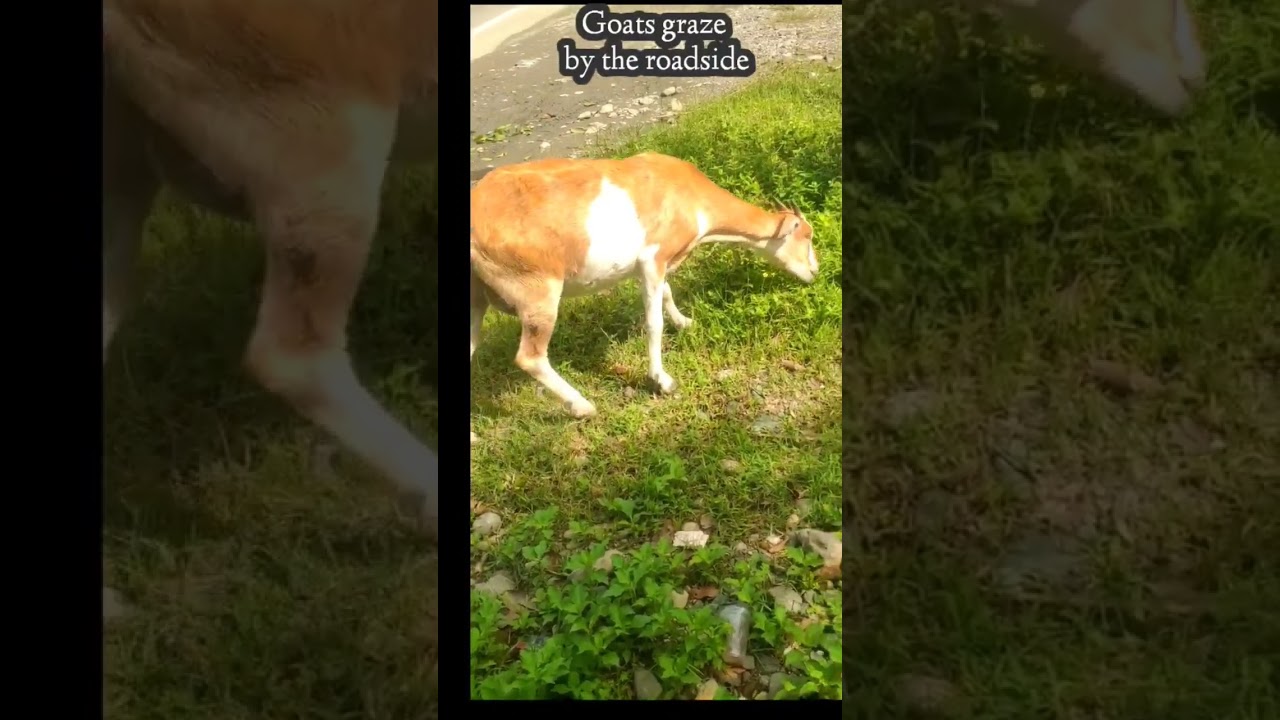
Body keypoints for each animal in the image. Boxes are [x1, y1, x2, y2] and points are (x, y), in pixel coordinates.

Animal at [468, 152, 819, 441]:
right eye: (806, 235)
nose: (814, 272)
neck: (687, 193)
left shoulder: (652, 265)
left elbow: (666, 292)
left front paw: (685, 322)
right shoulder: (653, 258)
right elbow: (653, 323)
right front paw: (662, 380)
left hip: (477, 297)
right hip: (538, 290)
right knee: (530, 356)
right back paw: (583, 406)